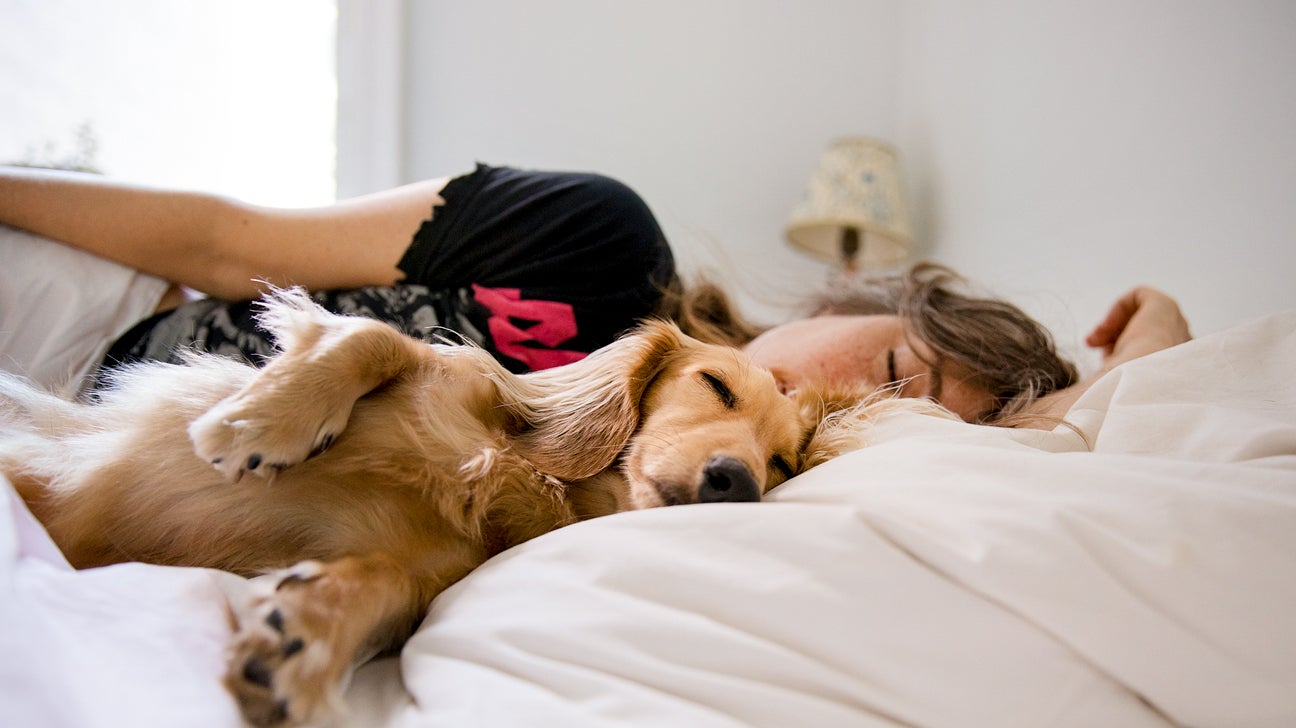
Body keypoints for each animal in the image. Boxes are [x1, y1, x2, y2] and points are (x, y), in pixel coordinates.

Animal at [0, 286, 850, 720]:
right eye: (716, 386)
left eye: (781, 462)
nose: (738, 481)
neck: (525, 473)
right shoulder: (433, 371)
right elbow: (373, 338)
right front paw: (260, 422)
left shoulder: (421, 567)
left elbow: (383, 586)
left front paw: (303, 641)